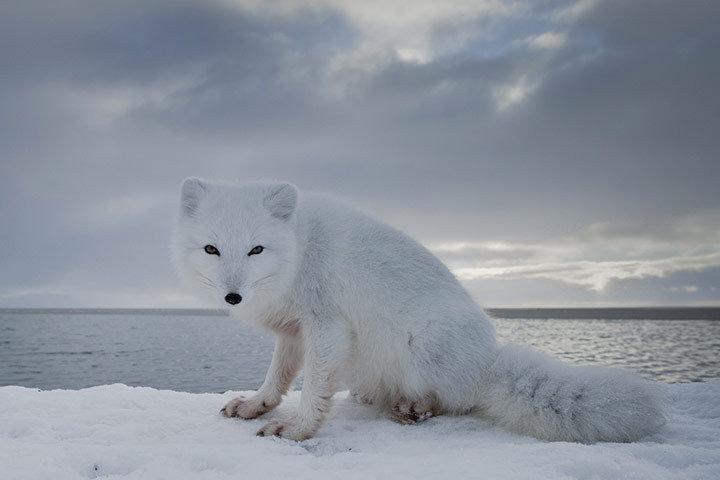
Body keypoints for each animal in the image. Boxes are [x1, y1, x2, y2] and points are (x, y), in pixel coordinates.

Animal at [172, 179, 668, 442]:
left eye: (256, 249)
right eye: (212, 249)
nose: (232, 297)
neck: (299, 251)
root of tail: (488, 360)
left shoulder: (327, 327)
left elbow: (313, 388)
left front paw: (296, 430)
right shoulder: (294, 332)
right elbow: (277, 377)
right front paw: (257, 404)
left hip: (425, 343)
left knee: (458, 400)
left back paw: (416, 406)